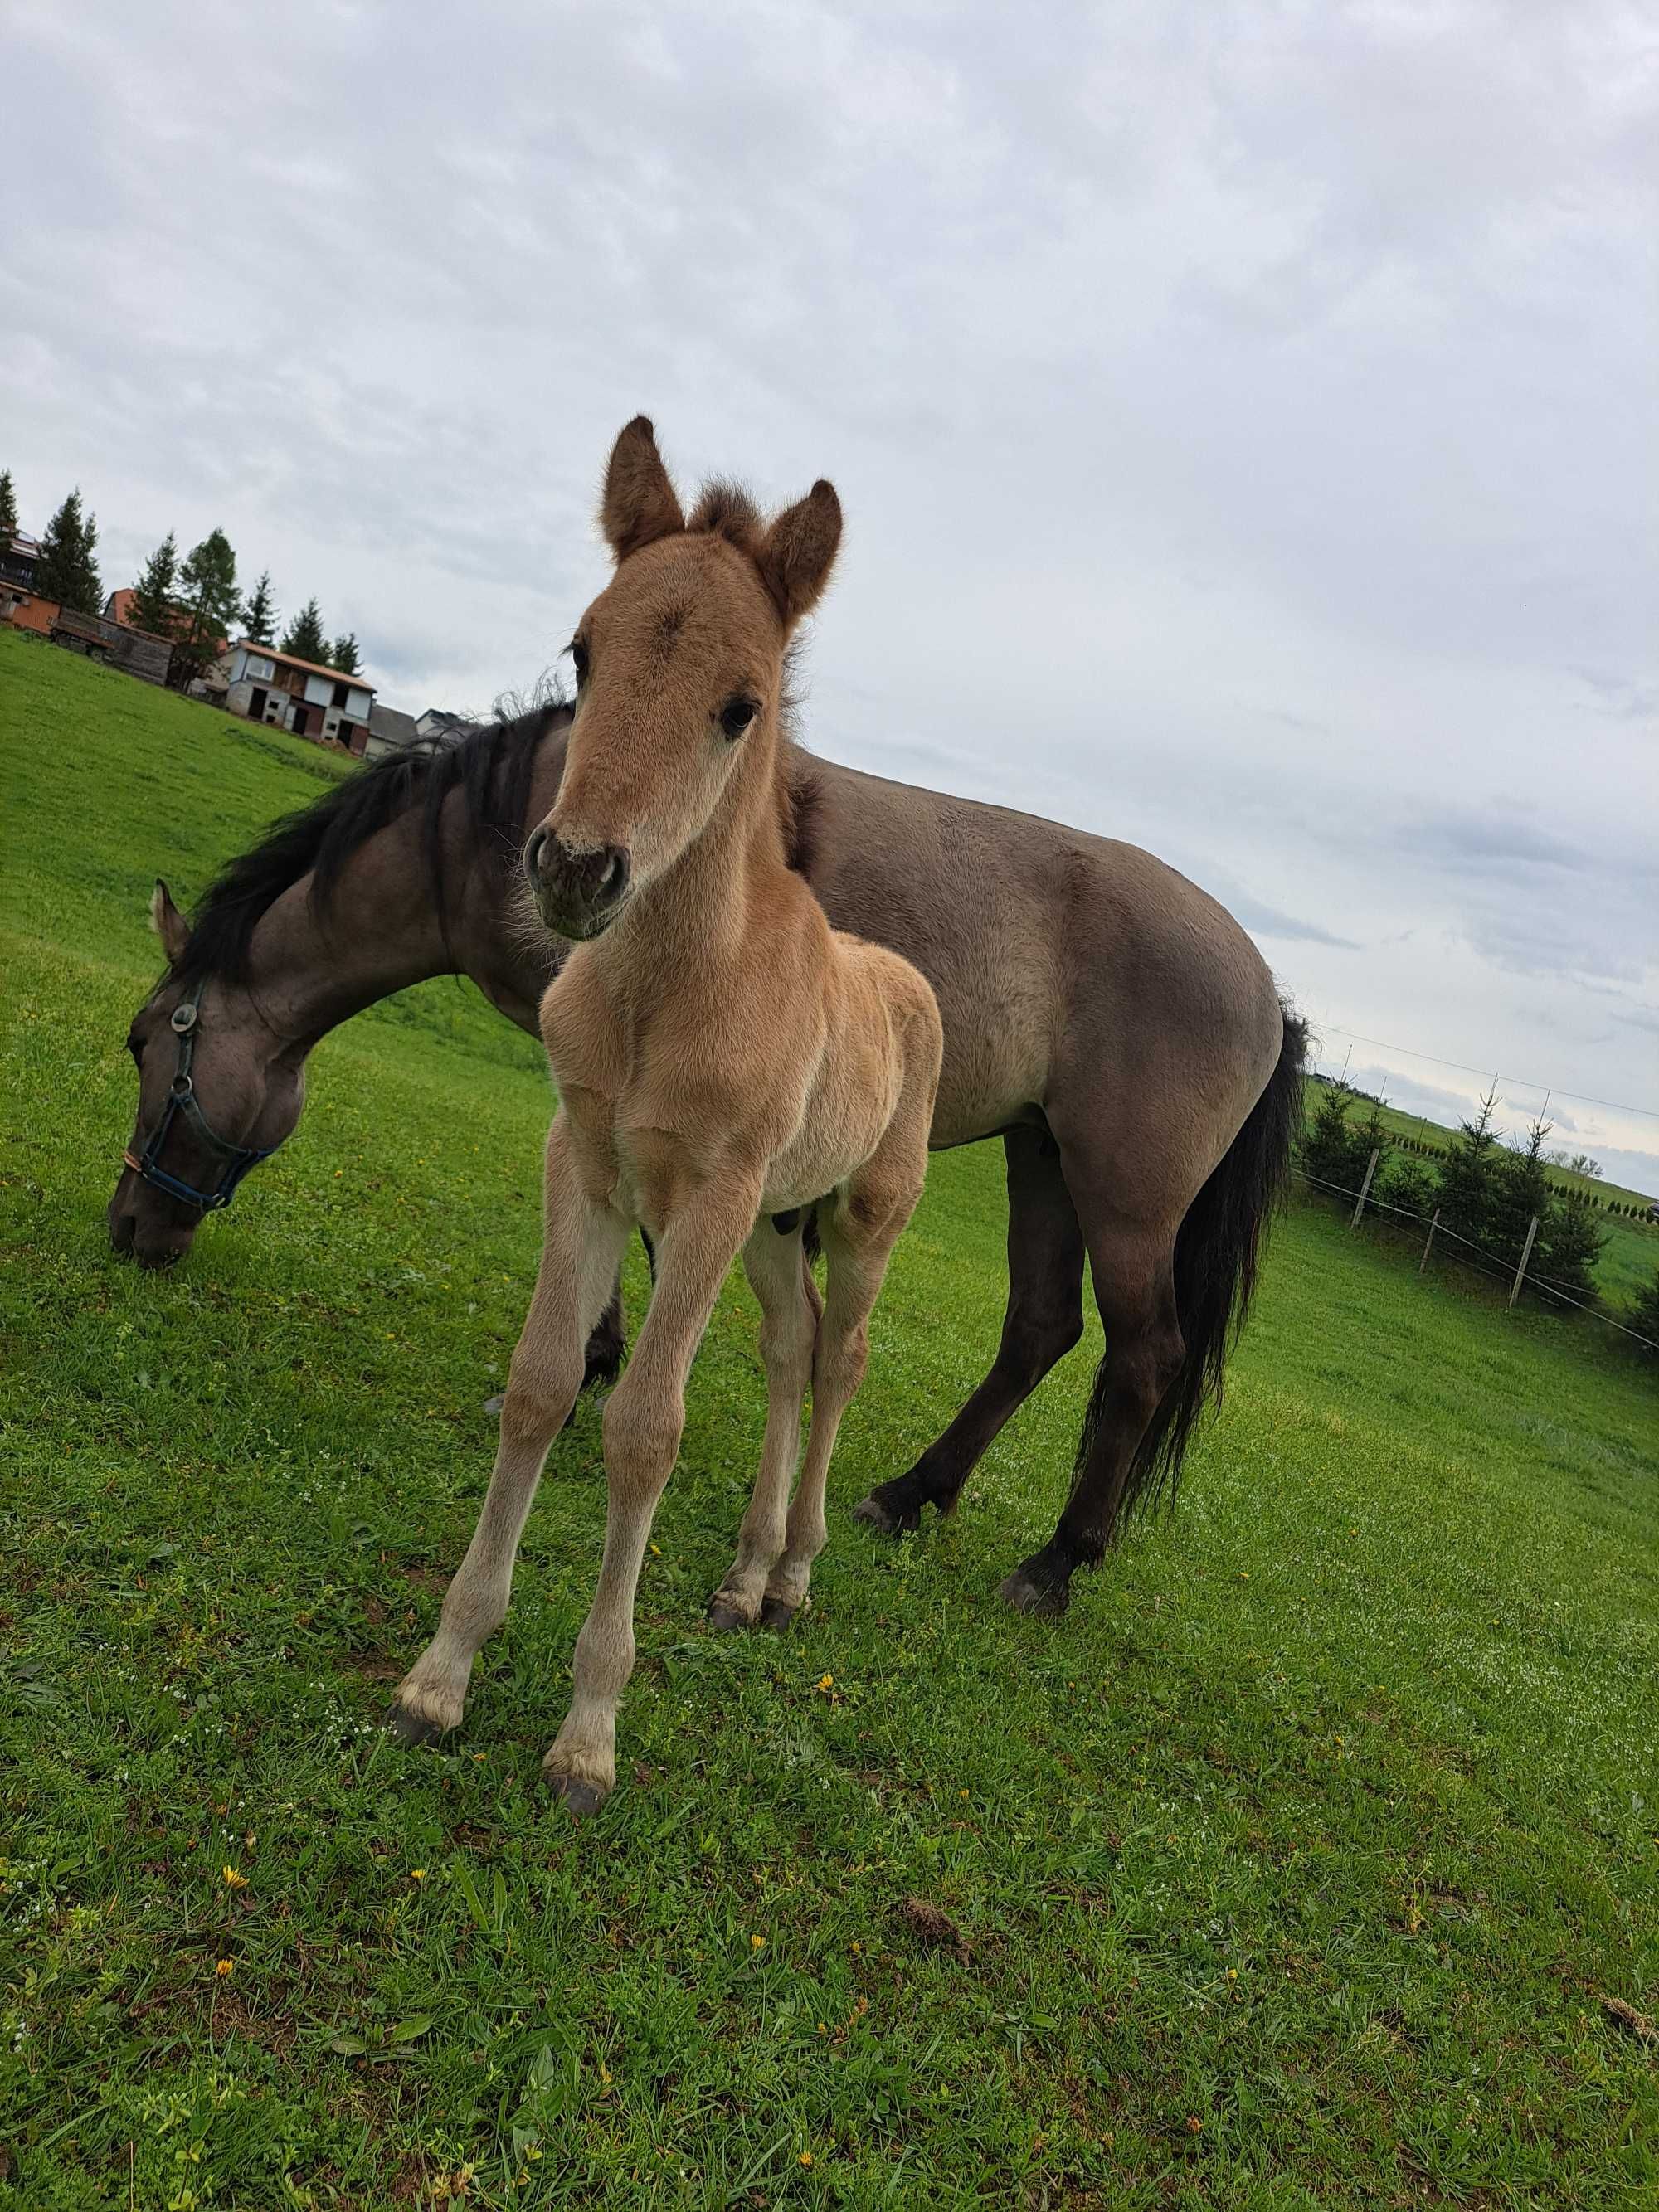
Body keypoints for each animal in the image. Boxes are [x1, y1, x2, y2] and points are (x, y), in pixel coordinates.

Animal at [117, 508, 1309, 1627]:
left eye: (143, 1045)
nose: (131, 1229)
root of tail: (1267, 990)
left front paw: (601, 1365)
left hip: (1123, 1194)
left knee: (1141, 1357)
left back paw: (1057, 1559)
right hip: (1043, 1155)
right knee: (1039, 1330)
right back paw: (911, 1492)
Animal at [382, 422, 942, 1805]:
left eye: (741, 704)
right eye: (585, 649)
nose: (578, 869)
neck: (668, 992)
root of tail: (905, 979)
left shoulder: (708, 1199)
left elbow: (643, 1427)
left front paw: (588, 1731)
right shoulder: (583, 1162)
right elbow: (542, 1385)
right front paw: (441, 1674)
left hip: (854, 1217)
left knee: (842, 1358)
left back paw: (792, 1575)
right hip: (778, 1225)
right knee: (792, 1349)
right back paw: (741, 1576)